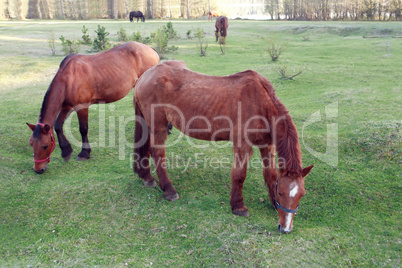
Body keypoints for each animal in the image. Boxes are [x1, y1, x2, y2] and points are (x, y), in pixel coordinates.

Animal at [25, 40, 159, 174]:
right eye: (31, 144)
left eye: (45, 146)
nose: (38, 169)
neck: (68, 79)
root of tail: (150, 49)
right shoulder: (66, 107)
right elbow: (58, 126)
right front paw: (66, 151)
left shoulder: (82, 107)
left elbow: (83, 129)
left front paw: (84, 153)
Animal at [133, 61, 312, 234]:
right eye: (281, 192)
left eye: (302, 195)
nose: (286, 228)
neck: (260, 102)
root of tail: (144, 76)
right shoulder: (242, 145)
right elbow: (239, 175)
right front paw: (238, 206)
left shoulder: (267, 145)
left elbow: (270, 174)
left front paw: (273, 203)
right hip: (159, 126)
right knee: (157, 153)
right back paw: (169, 190)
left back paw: (146, 177)